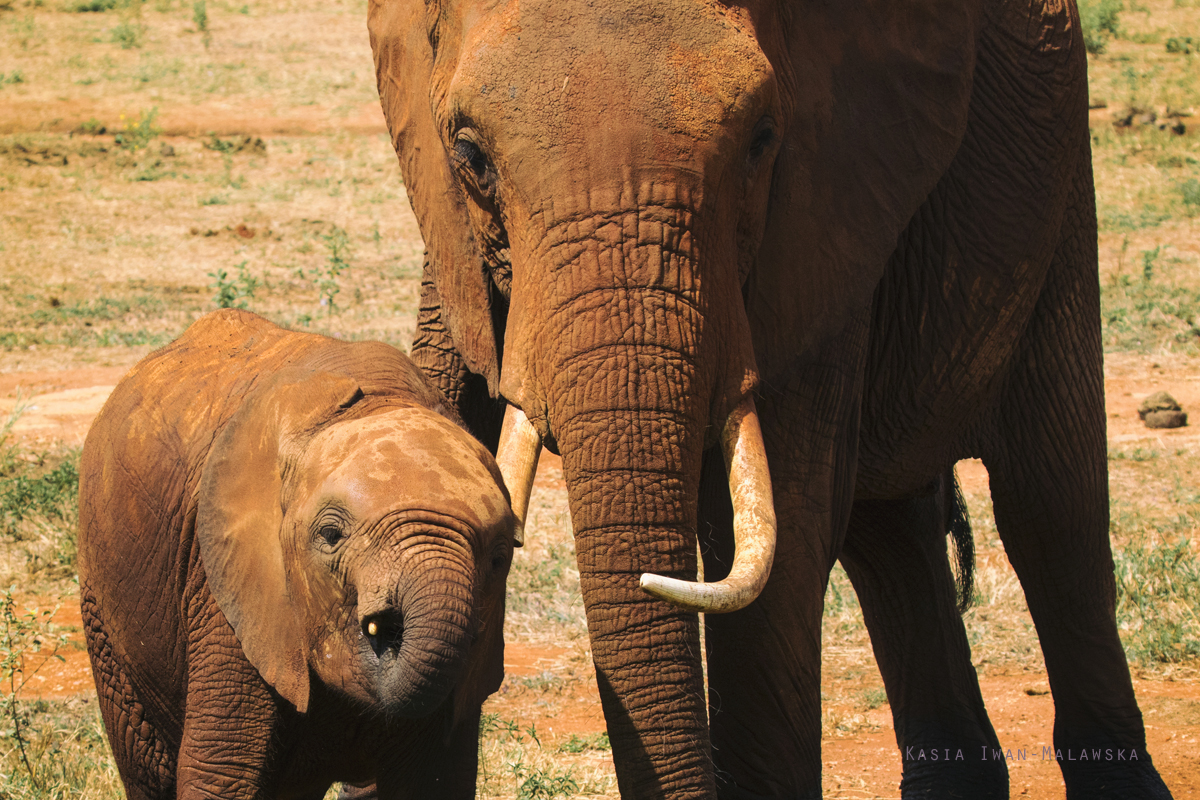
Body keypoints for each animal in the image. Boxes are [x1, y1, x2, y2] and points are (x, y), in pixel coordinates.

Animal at [79, 309, 516, 800]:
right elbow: (222, 775)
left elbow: (436, 780)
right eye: (330, 535)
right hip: (103, 607)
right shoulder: (225, 589)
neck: (380, 400)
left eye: (499, 559)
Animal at [367, 0, 1171, 796]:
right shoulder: (452, 248)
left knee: (1049, 504)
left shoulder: (822, 209)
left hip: (1060, 159)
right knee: (892, 532)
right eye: (470, 156)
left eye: (761, 141)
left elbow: (778, 538)